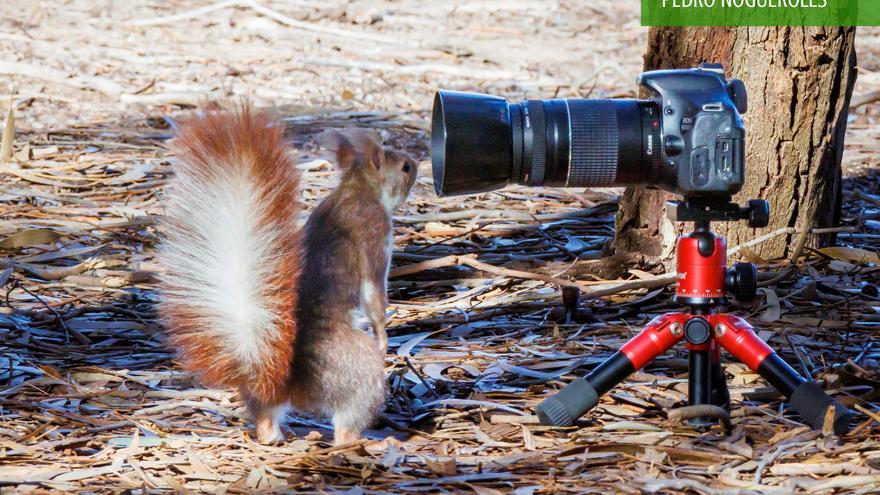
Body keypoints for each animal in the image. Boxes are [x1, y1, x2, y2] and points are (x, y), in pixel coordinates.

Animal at [156, 106, 418, 448]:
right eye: (404, 167)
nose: (417, 165)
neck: (355, 187)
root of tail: (285, 380)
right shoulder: (375, 234)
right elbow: (374, 295)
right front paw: (384, 338)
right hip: (358, 371)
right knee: (345, 429)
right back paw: (372, 441)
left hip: (268, 400)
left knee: (266, 419)